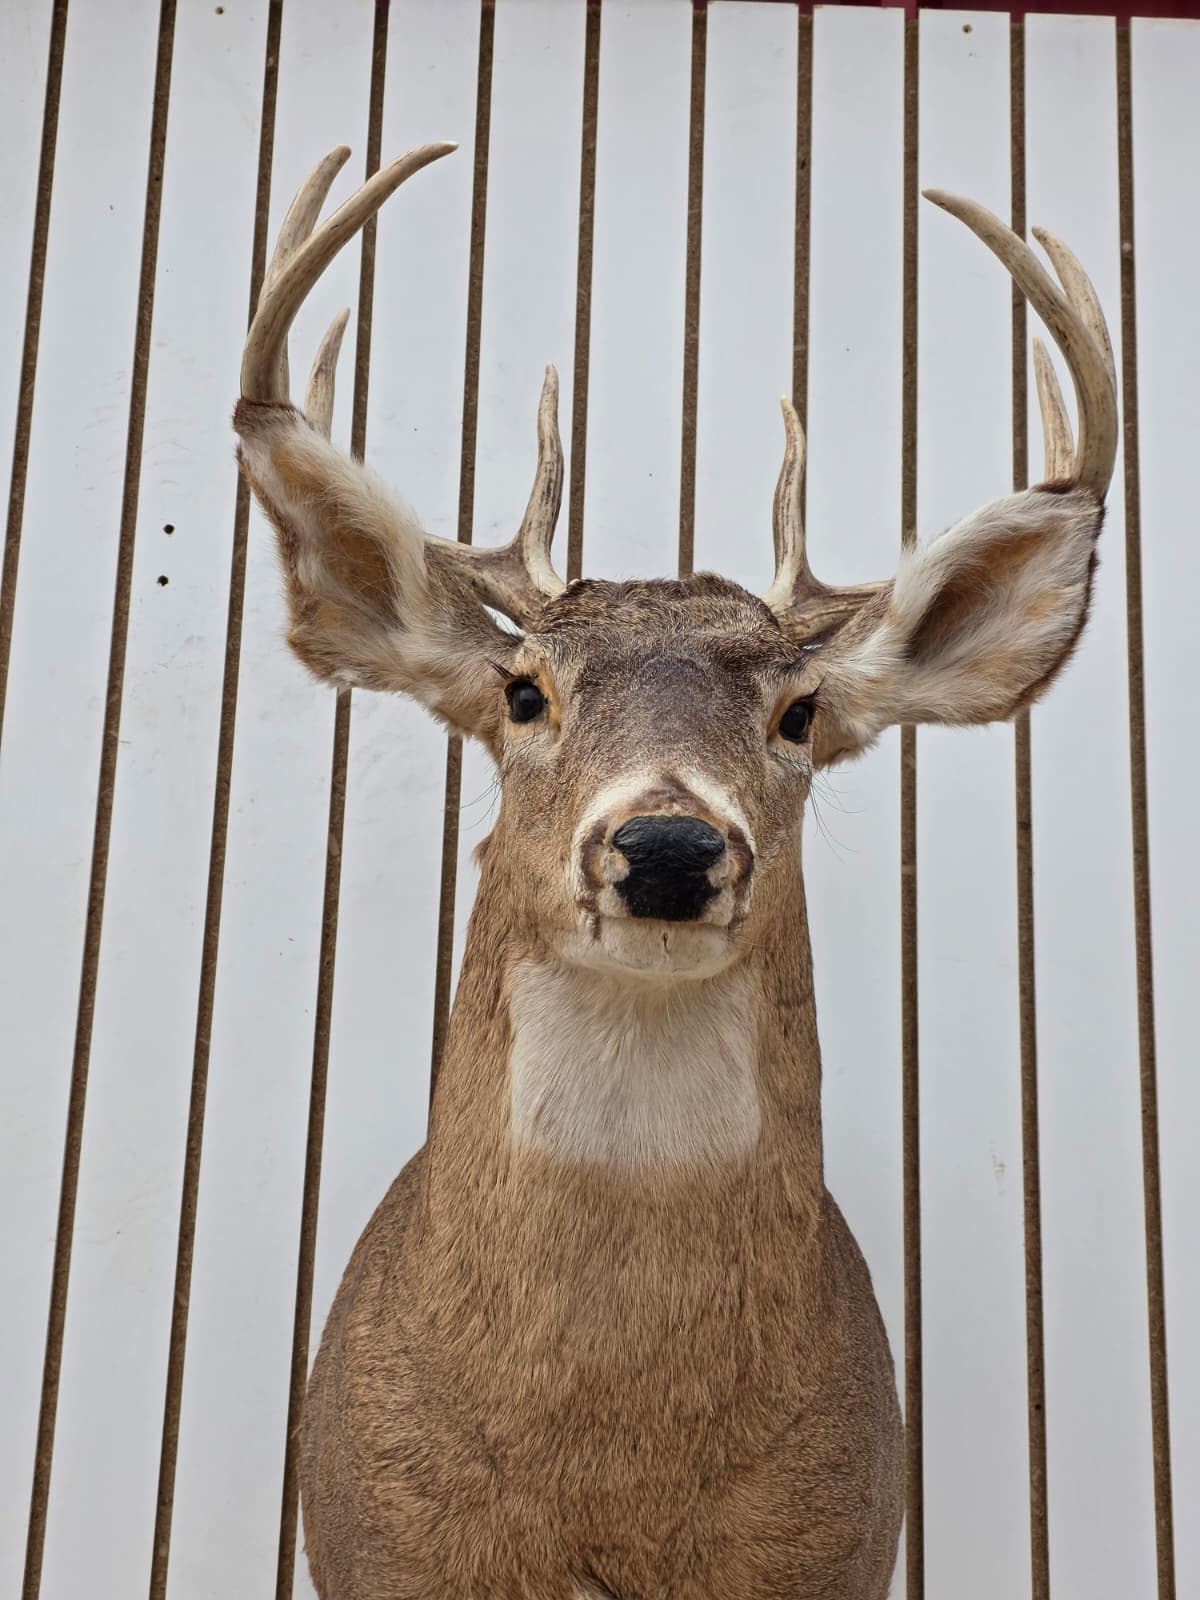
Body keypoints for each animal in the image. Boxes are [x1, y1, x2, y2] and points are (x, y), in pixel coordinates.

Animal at [234, 141, 1117, 1600]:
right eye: (521, 691)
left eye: (801, 714)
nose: (666, 845)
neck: (611, 1473)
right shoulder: (370, 1548)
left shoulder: (840, 1547)